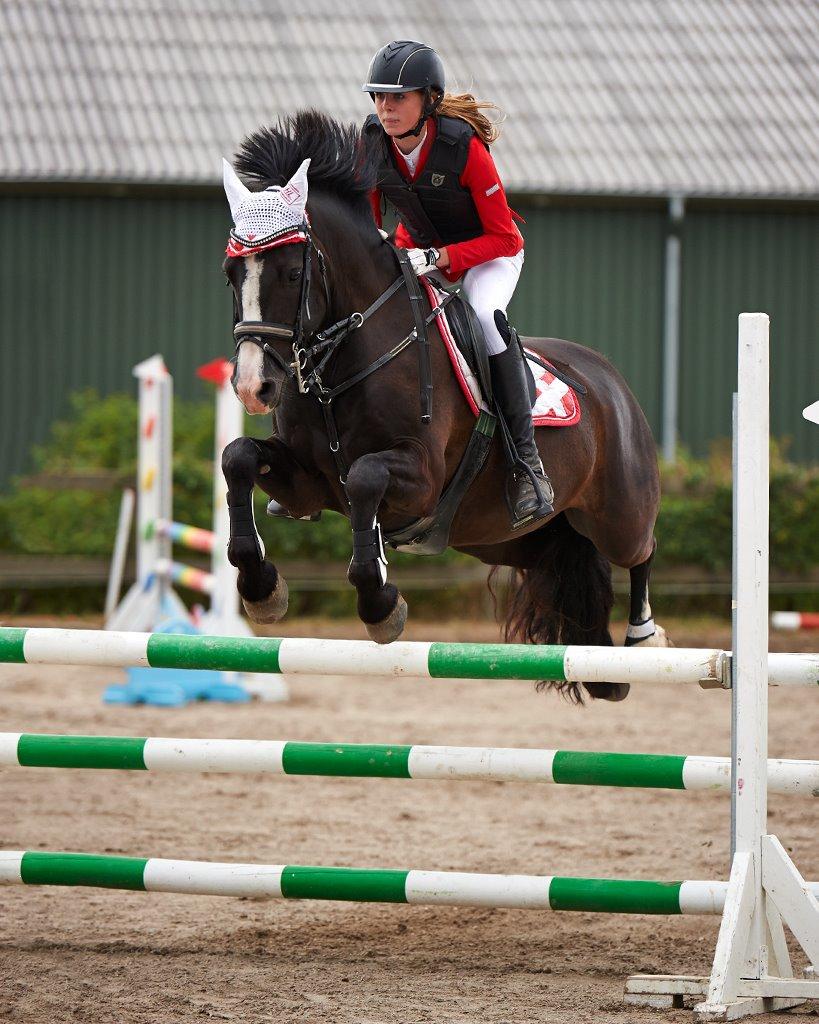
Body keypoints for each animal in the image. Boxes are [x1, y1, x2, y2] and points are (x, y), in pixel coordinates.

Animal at [221, 112, 667, 704]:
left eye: (293, 274)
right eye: (231, 275)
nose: (254, 387)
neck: (345, 360)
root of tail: (611, 381)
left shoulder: (422, 478)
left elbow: (364, 478)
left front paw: (380, 605)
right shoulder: (308, 484)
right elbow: (238, 457)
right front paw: (261, 588)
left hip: (617, 511)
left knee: (641, 550)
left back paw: (644, 639)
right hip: (507, 540)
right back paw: (602, 668)